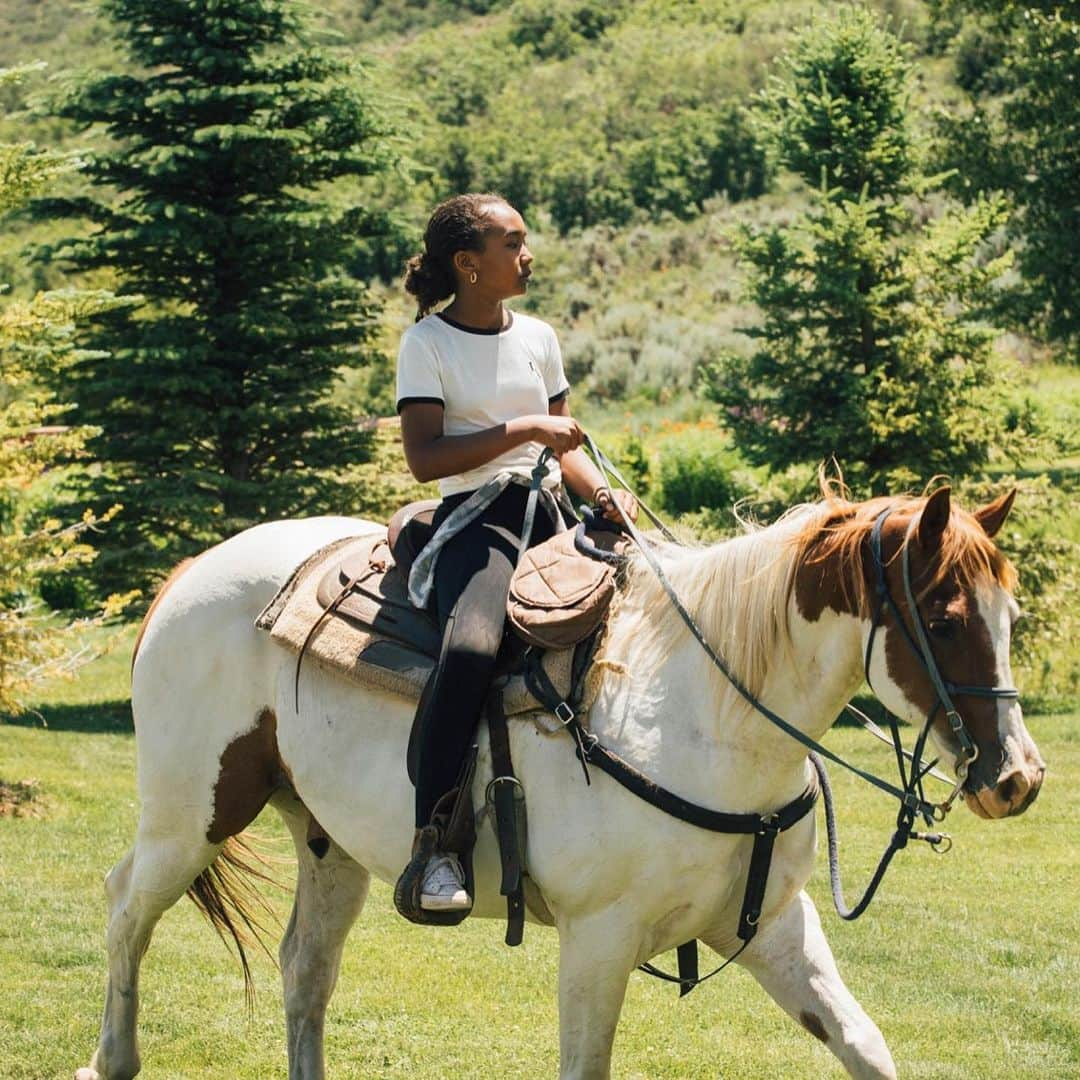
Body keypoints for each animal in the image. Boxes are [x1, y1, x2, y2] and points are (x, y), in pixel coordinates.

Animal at [78, 486, 1045, 1075]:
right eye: (946, 620)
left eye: (1012, 614)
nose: (1021, 779)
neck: (703, 714)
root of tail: (192, 571)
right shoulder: (598, 941)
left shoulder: (774, 927)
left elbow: (864, 1045)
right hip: (191, 816)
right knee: (125, 907)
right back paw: (111, 1058)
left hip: (328, 846)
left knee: (303, 970)